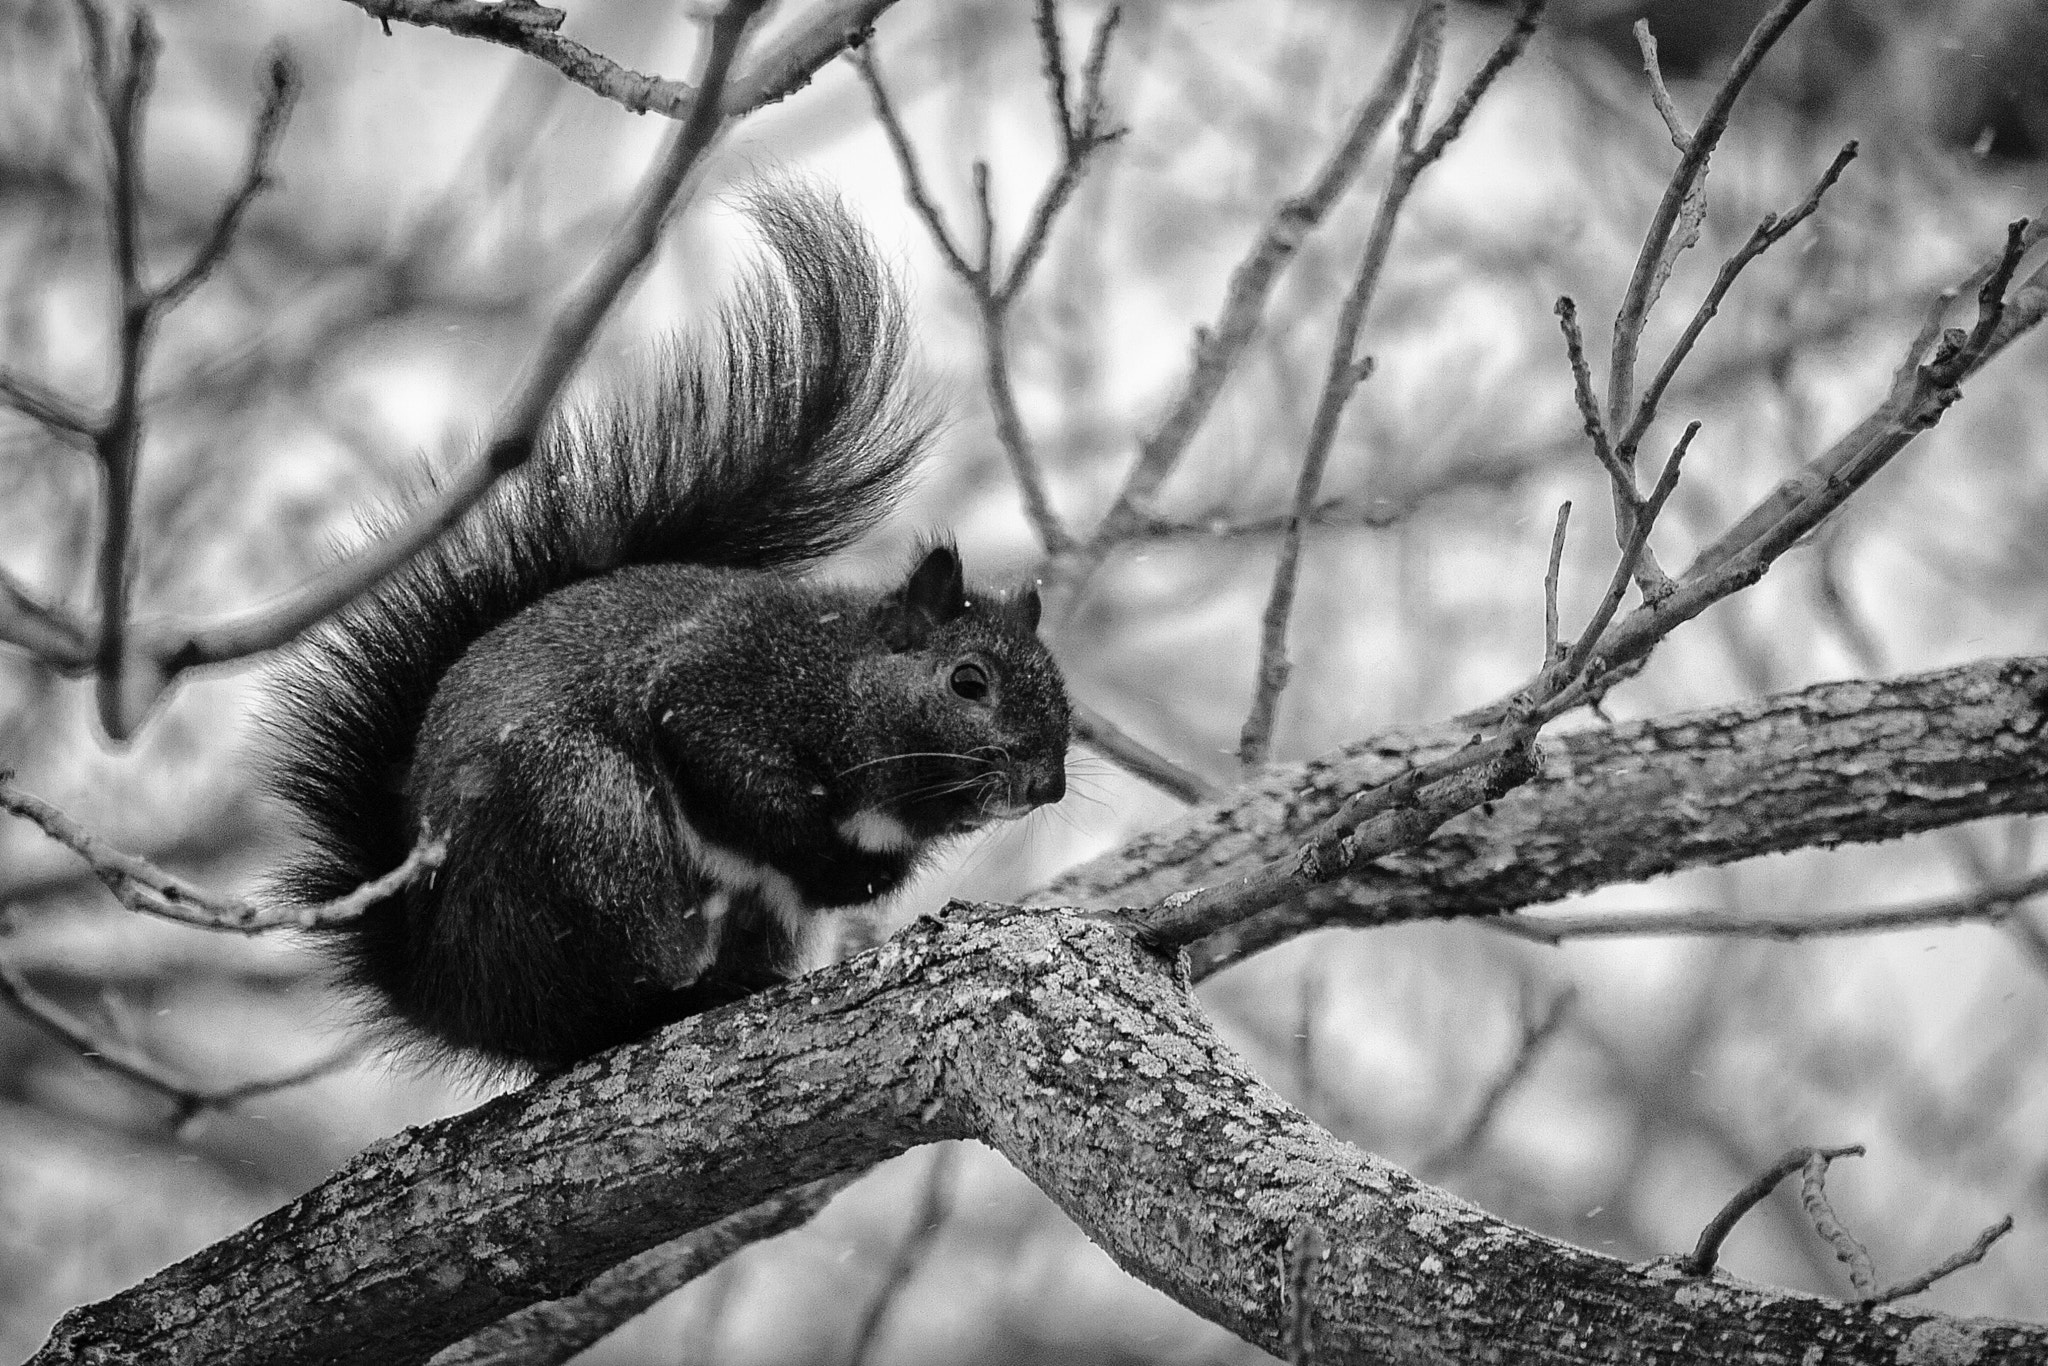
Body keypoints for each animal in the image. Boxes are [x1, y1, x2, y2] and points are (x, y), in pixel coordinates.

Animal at [265, 192, 1071, 1075]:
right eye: (968, 681)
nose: (1048, 785)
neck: (843, 674)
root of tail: (447, 993)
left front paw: (867, 880)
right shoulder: (725, 682)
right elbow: (732, 773)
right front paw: (831, 864)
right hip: (587, 822)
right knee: (594, 1007)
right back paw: (674, 999)